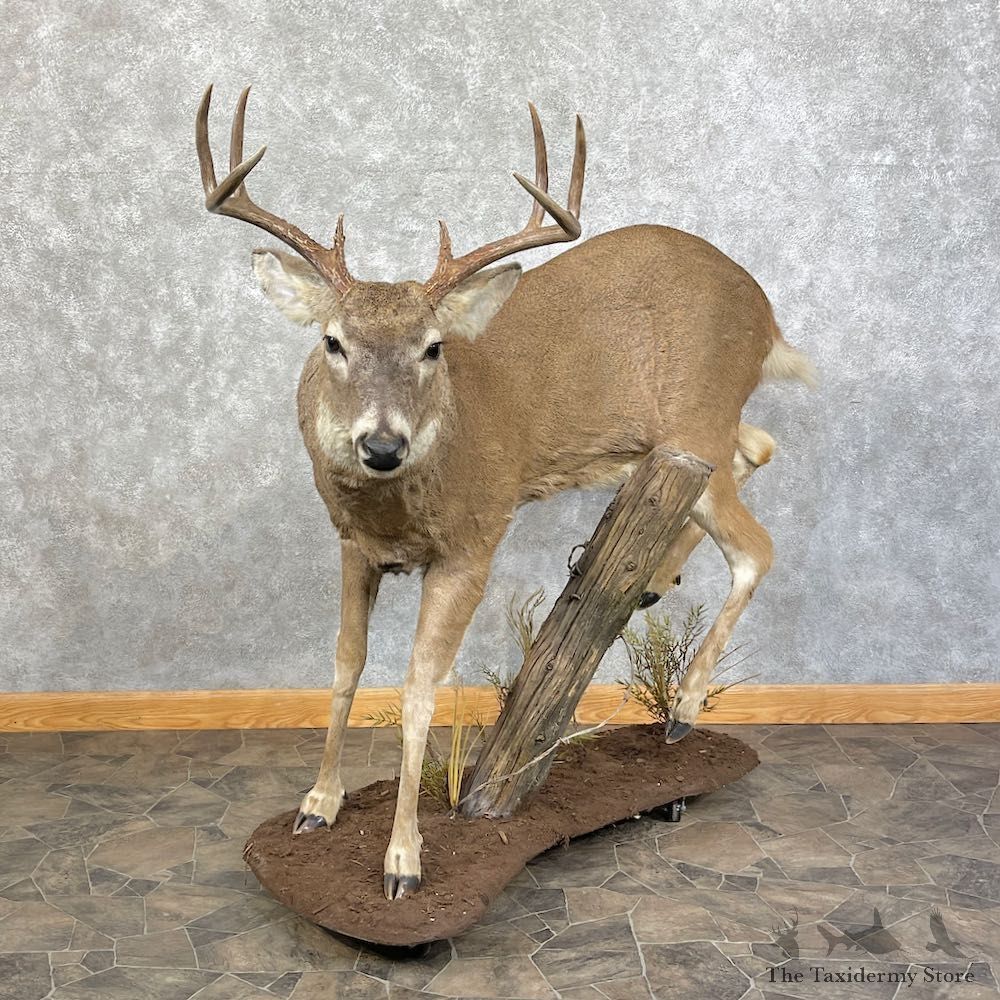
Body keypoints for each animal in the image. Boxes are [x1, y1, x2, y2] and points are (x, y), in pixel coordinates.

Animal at [195, 85, 815, 900]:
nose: (382, 446)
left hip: (700, 417)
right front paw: (316, 805)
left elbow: (421, 688)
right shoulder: (353, 546)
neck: (400, 507)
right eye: (333, 341)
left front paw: (403, 862)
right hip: (685, 442)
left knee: (758, 545)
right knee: (759, 448)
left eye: (433, 348)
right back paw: (651, 578)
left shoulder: (474, 542)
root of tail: (768, 313)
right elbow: (344, 666)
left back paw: (683, 707)